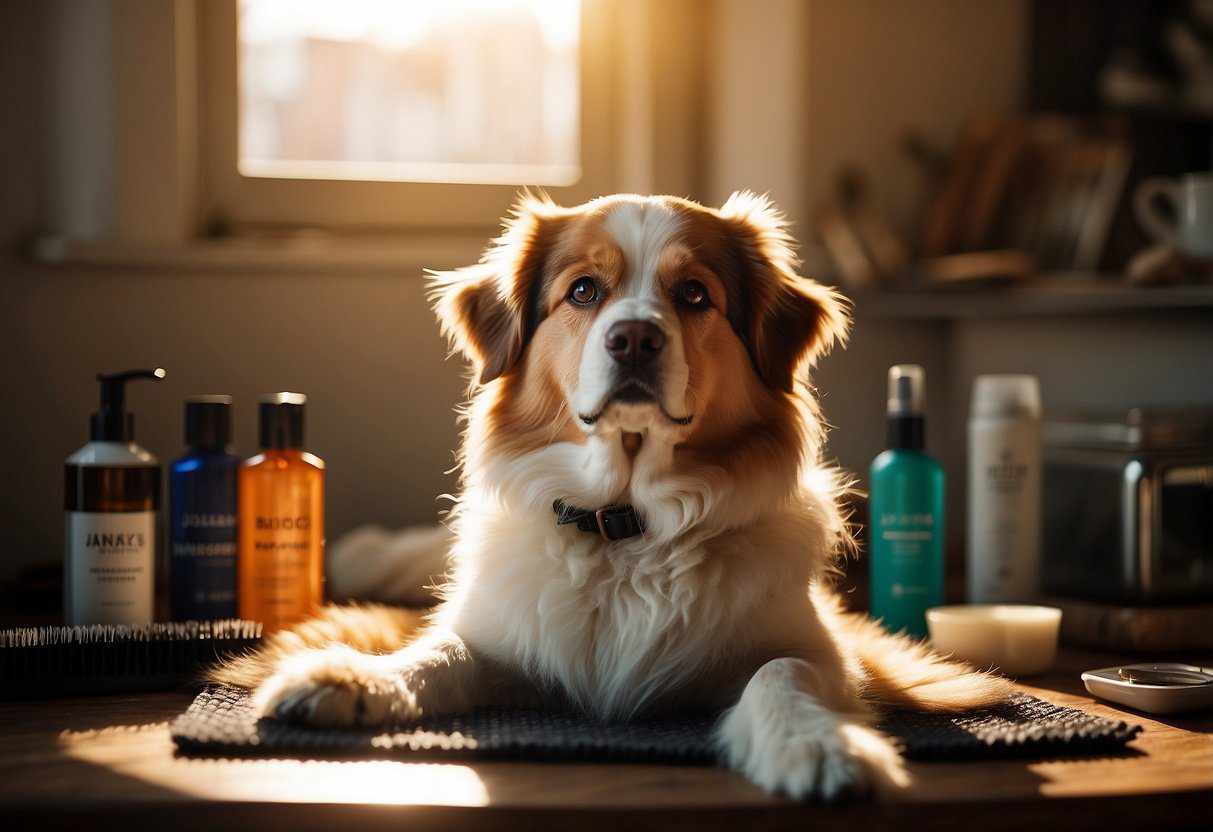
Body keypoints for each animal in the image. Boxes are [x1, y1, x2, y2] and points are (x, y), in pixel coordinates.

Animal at [213, 194, 1009, 800]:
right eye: (583, 291)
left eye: (694, 296)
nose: (632, 339)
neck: (624, 526)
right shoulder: (503, 639)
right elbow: (433, 652)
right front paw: (351, 677)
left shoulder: (825, 652)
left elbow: (781, 674)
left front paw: (816, 745)